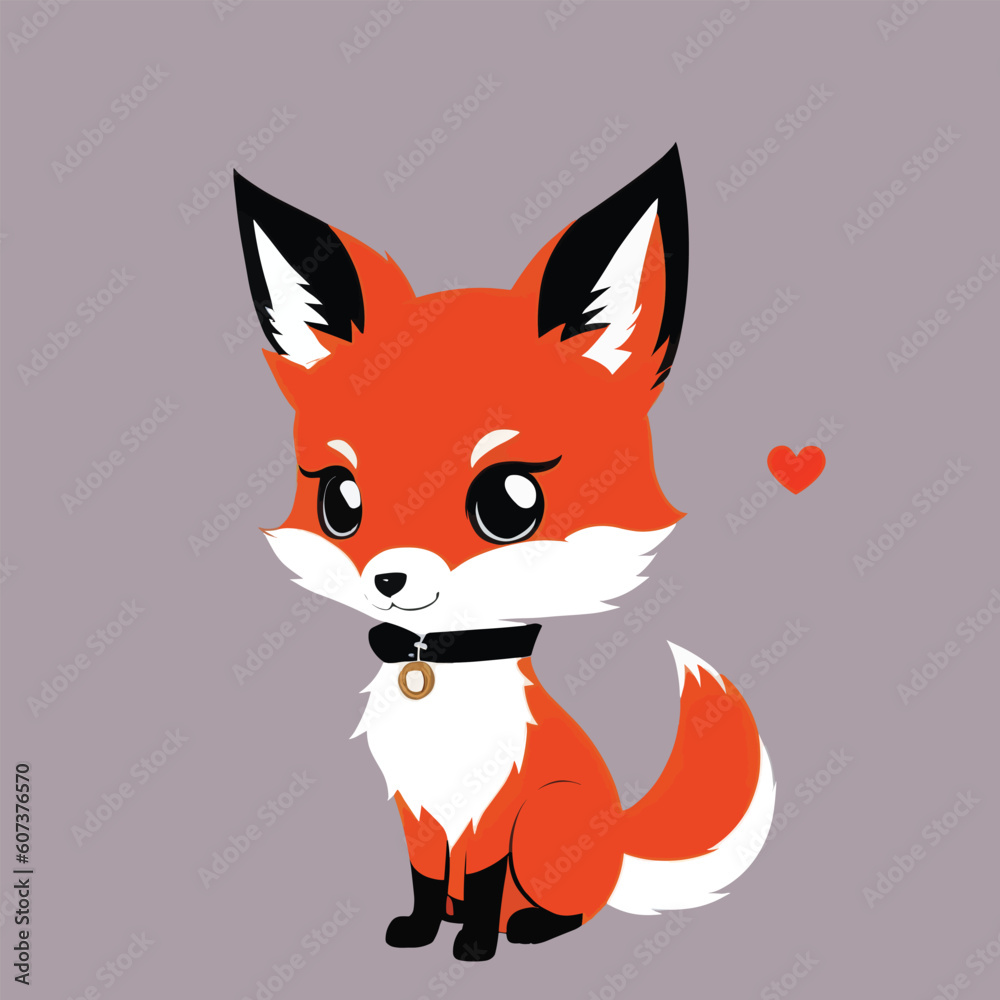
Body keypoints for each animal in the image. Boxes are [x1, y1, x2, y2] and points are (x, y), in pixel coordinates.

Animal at [233, 145, 775, 962]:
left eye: (510, 503)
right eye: (342, 502)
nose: (388, 577)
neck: (436, 673)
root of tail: (618, 847)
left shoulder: (498, 806)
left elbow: (485, 879)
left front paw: (476, 945)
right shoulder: (417, 809)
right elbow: (426, 877)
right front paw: (422, 929)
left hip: (552, 819)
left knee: (569, 908)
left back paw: (529, 926)